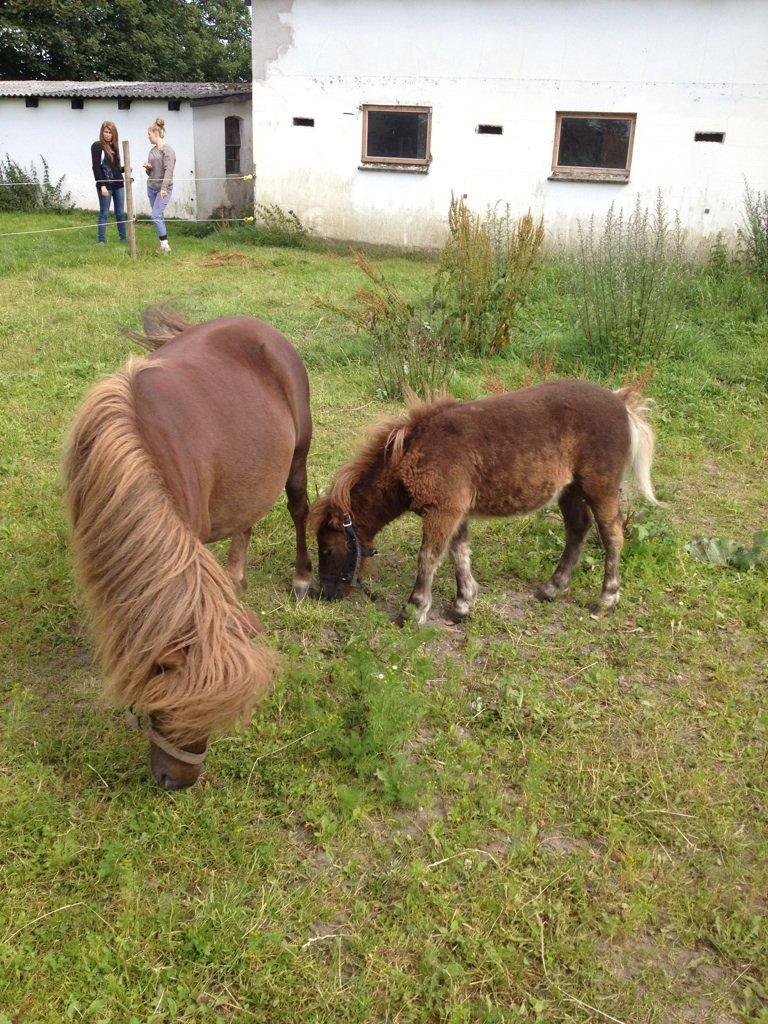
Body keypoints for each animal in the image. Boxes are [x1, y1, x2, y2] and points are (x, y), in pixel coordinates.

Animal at [61, 311, 311, 790]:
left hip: (298, 457)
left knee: (299, 508)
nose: (177, 782)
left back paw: (303, 576)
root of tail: (258, 326)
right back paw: (235, 579)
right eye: (163, 711)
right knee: (247, 521)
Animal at [313, 378, 663, 622]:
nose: (325, 594)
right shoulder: (455, 511)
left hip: (599, 488)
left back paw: (606, 600)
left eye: (327, 549)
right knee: (577, 530)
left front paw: (413, 611)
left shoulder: (443, 511)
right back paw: (551, 589)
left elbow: (429, 558)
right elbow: (460, 554)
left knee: (612, 535)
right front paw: (462, 605)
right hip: (571, 490)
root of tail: (621, 403)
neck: (413, 452)